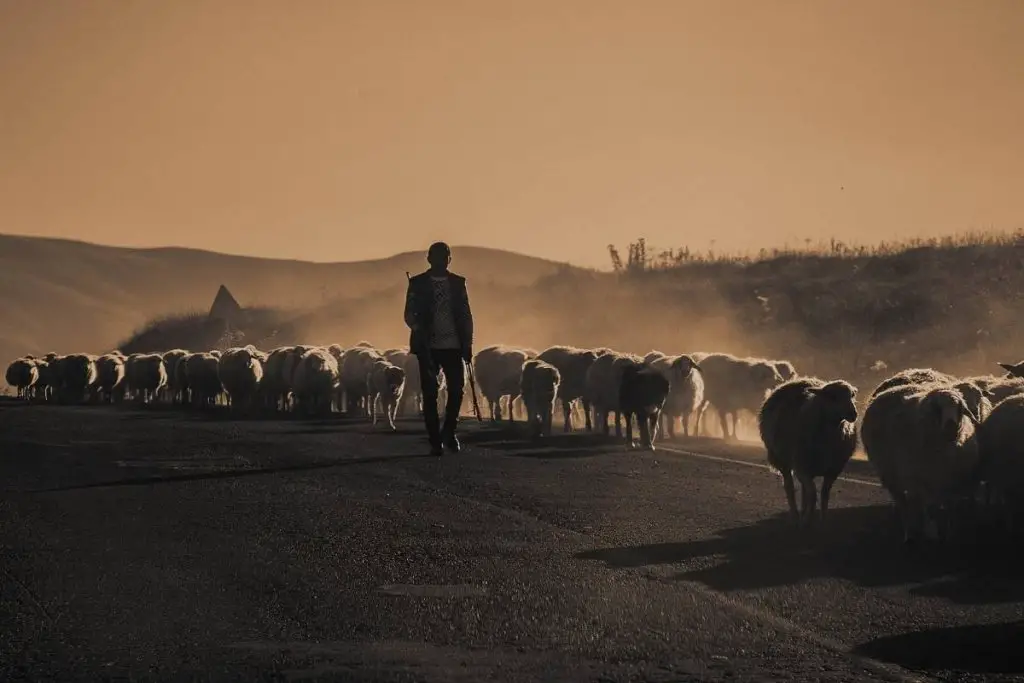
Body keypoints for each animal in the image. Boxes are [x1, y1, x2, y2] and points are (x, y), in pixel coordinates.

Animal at [757, 376, 860, 528]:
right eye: (833, 396)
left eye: (852, 395)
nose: (853, 414)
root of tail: (799, 380)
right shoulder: (802, 468)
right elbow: (813, 494)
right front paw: (807, 519)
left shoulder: (833, 470)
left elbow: (824, 494)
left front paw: (823, 519)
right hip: (782, 460)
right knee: (789, 487)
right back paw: (795, 516)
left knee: (804, 490)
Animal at [864, 382, 983, 540]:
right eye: (937, 408)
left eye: (959, 408)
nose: (951, 428)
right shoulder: (919, 478)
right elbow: (927, 506)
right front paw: (931, 530)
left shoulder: (950, 480)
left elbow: (946, 507)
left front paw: (947, 530)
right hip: (890, 474)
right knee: (903, 502)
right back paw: (909, 531)